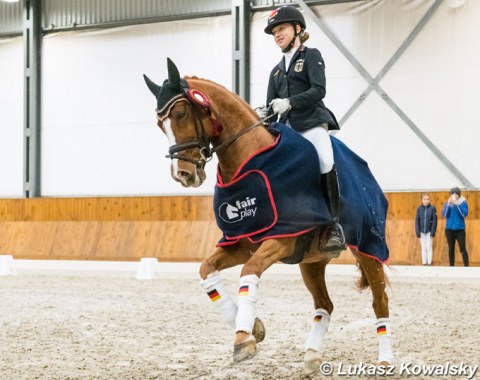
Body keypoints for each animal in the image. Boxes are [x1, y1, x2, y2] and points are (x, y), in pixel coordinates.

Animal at [143, 58, 394, 374]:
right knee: (324, 304)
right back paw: (312, 355)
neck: (248, 159)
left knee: (379, 301)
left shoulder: (280, 239)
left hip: (368, 248)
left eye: (179, 113)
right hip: (311, 261)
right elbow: (206, 271)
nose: (183, 175)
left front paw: (242, 339)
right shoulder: (242, 242)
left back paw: (385, 360)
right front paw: (254, 327)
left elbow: (248, 274)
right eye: (159, 124)